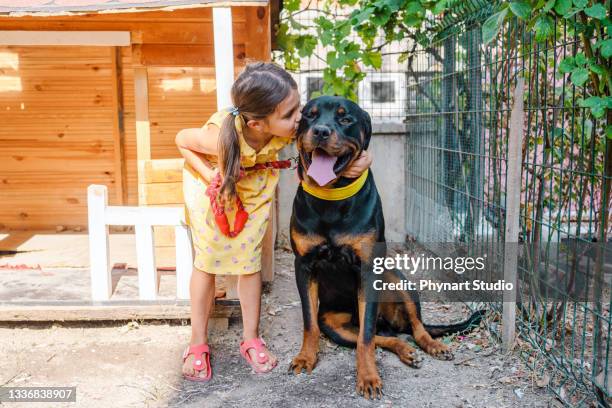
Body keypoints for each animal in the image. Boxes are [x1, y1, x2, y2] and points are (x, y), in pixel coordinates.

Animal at [288, 95, 482, 398]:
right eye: (310, 115)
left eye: (345, 118)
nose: (320, 131)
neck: (331, 196)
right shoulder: (304, 266)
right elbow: (310, 323)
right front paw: (306, 357)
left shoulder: (368, 269)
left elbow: (366, 337)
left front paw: (368, 377)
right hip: (335, 325)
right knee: (384, 336)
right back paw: (405, 351)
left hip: (397, 279)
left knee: (412, 327)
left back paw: (432, 346)